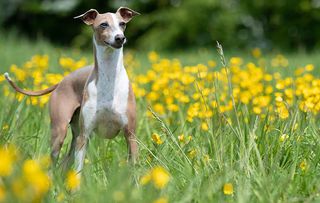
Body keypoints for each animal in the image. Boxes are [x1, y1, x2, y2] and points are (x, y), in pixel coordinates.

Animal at [3, 7, 139, 174]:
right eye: (104, 24)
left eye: (122, 24)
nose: (120, 38)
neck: (110, 78)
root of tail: (62, 81)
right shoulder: (84, 136)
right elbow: (78, 172)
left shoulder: (131, 135)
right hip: (60, 132)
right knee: (54, 162)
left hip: (74, 138)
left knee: (64, 163)